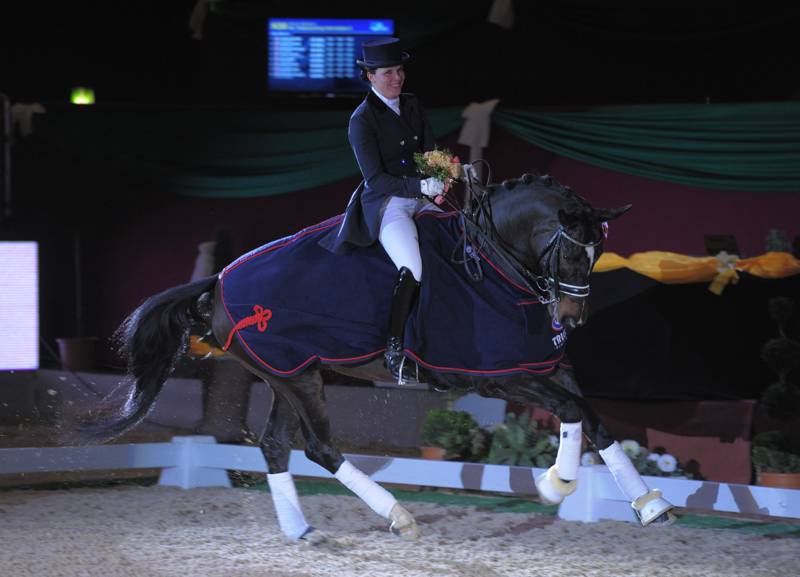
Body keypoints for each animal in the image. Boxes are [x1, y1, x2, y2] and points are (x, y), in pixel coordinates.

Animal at [87, 173, 676, 544]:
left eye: (600, 252)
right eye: (572, 250)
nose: (570, 320)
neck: (491, 262)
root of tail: (219, 281)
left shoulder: (544, 367)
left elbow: (594, 419)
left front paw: (649, 504)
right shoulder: (496, 377)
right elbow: (574, 412)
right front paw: (557, 484)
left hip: (285, 376)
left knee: (276, 445)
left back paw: (302, 531)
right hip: (300, 379)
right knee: (321, 447)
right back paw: (398, 515)